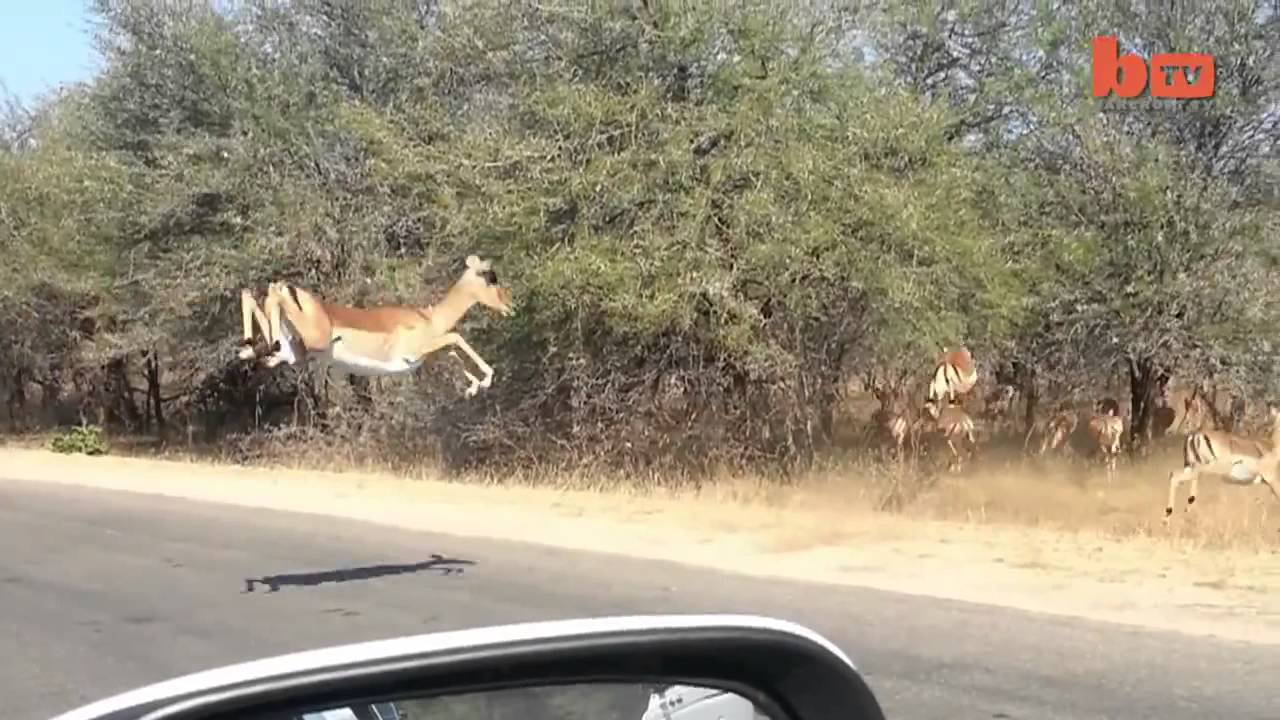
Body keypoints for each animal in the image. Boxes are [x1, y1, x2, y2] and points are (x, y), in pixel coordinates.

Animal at [238, 255, 514, 397]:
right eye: (491, 277)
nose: (510, 304)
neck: (429, 317)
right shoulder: (415, 351)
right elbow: (456, 339)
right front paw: (486, 379)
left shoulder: (427, 353)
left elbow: (453, 352)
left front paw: (474, 387)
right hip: (313, 337)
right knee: (273, 290)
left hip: (292, 353)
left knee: (254, 300)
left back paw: (249, 346)